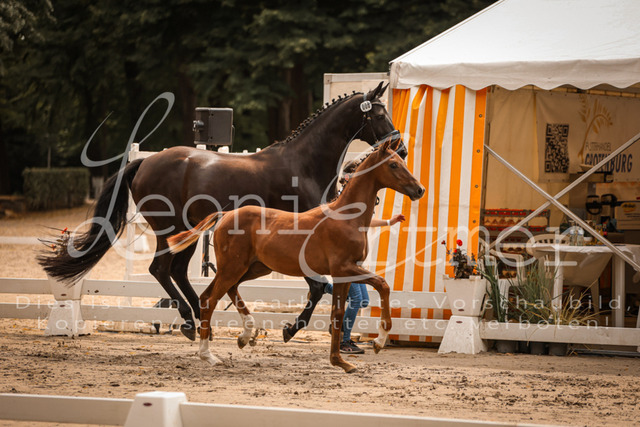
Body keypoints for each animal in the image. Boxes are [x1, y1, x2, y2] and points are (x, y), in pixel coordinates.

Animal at [37, 82, 407, 341]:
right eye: (377, 114)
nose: (400, 147)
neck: (304, 165)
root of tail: (144, 163)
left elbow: (320, 286)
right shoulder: (300, 239)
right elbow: (317, 287)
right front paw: (289, 329)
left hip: (189, 231)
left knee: (178, 271)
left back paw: (199, 319)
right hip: (169, 229)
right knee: (161, 269)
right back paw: (190, 320)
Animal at [166, 139, 425, 373]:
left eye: (402, 161)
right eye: (393, 164)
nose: (419, 190)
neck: (346, 218)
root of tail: (225, 215)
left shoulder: (343, 276)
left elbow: (338, 314)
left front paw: (340, 362)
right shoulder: (344, 268)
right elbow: (382, 284)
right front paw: (379, 342)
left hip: (254, 268)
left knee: (222, 292)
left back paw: (245, 336)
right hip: (233, 267)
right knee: (209, 299)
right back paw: (208, 355)